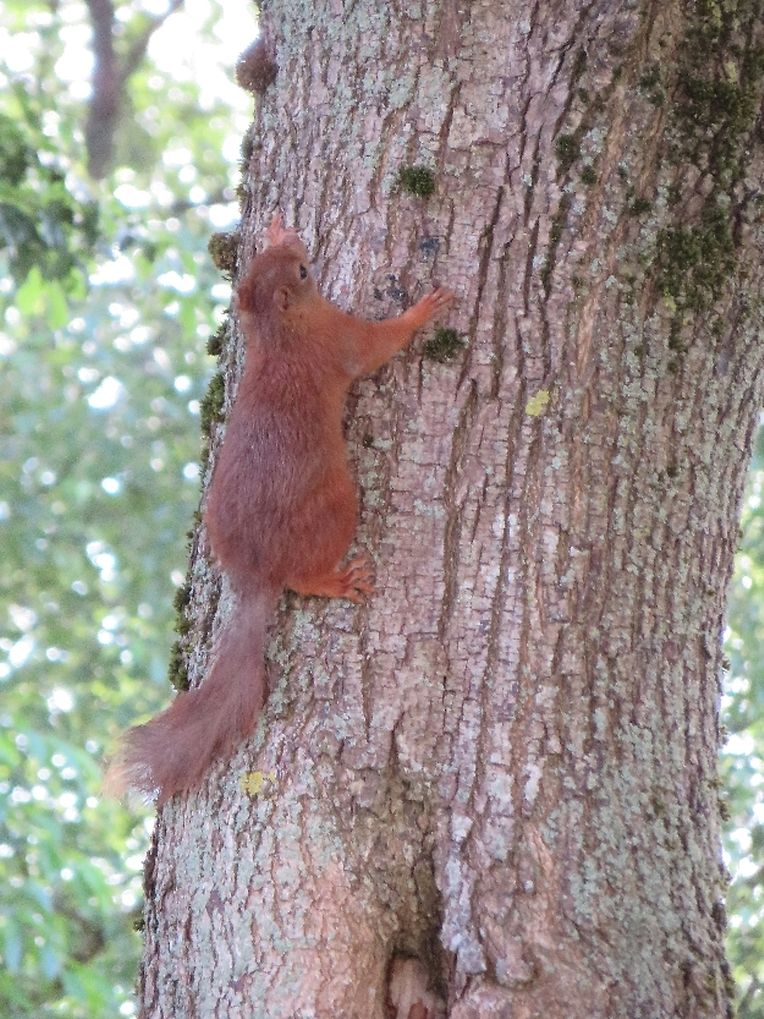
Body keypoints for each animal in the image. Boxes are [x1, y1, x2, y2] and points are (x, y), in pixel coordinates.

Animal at [105, 211, 454, 804]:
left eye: (281, 260)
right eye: (304, 272)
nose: (298, 245)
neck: (276, 332)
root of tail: (253, 571)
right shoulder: (340, 340)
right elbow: (377, 345)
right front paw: (422, 310)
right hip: (338, 508)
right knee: (303, 577)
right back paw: (335, 580)